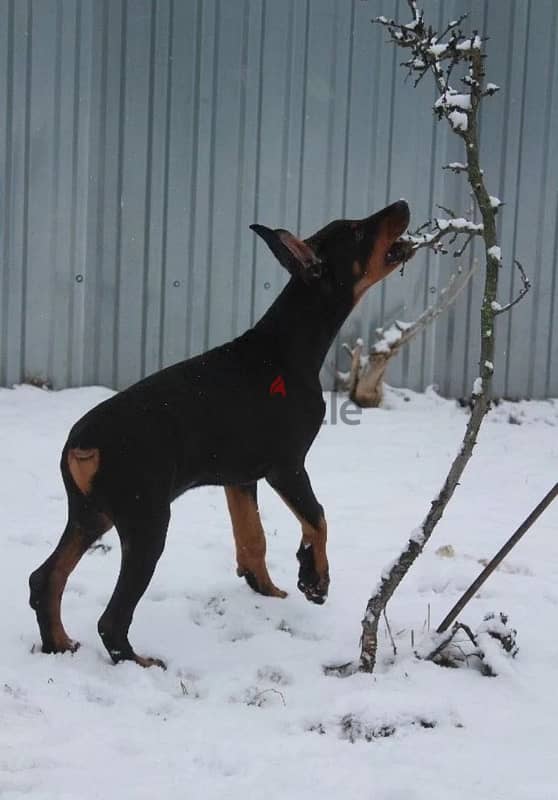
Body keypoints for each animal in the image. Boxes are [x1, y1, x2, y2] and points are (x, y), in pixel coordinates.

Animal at [28, 200, 412, 668]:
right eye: (357, 231)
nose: (402, 205)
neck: (290, 346)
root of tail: (84, 445)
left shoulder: (239, 478)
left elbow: (253, 539)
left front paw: (268, 590)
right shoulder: (287, 465)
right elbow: (317, 517)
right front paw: (314, 580)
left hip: (91, 514)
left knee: (45, 579)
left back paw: (58, 644)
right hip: (146, 521)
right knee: (111, 619)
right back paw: (139, 662)